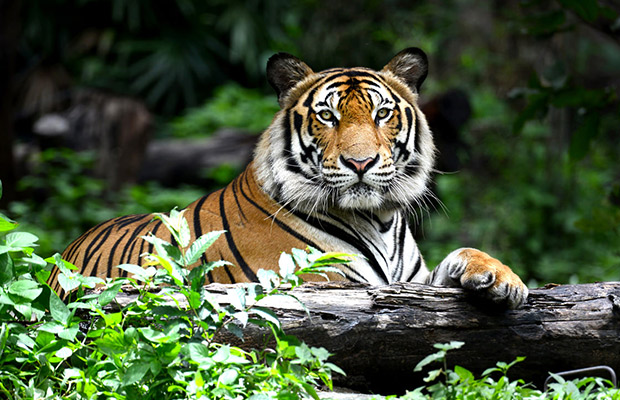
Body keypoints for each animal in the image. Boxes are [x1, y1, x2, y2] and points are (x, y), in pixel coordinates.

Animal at [50, 47, 532, 310]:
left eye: (382, 114)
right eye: (327, 116)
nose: (360, 163)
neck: (378, 219)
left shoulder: (410, 284)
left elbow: (462, 254)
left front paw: (502, 280)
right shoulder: (320, 284)